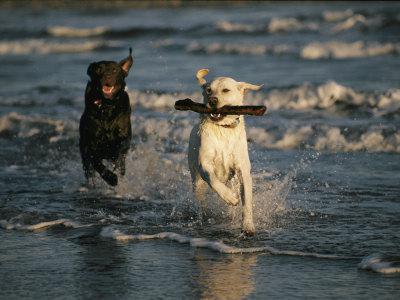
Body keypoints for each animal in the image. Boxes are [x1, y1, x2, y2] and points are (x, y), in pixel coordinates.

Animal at [79, 48, 134, 186]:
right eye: (99, 69)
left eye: (115, 70)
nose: (107, 76)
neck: (107, 106)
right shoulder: (90, 145)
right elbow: (96, 162)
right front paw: (111, 178)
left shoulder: (124, 138)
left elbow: (120, 150)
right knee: (89, 170)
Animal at [188, 68, 262, 234]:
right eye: (209, 90)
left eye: (226, 90)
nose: (212, 100)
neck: (223, 129)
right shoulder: (204, 164)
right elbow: (213, 180)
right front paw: (230, 197)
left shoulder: (242, 170)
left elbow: (247, 202)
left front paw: (248, 226)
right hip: (196, 179)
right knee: (200, 196)